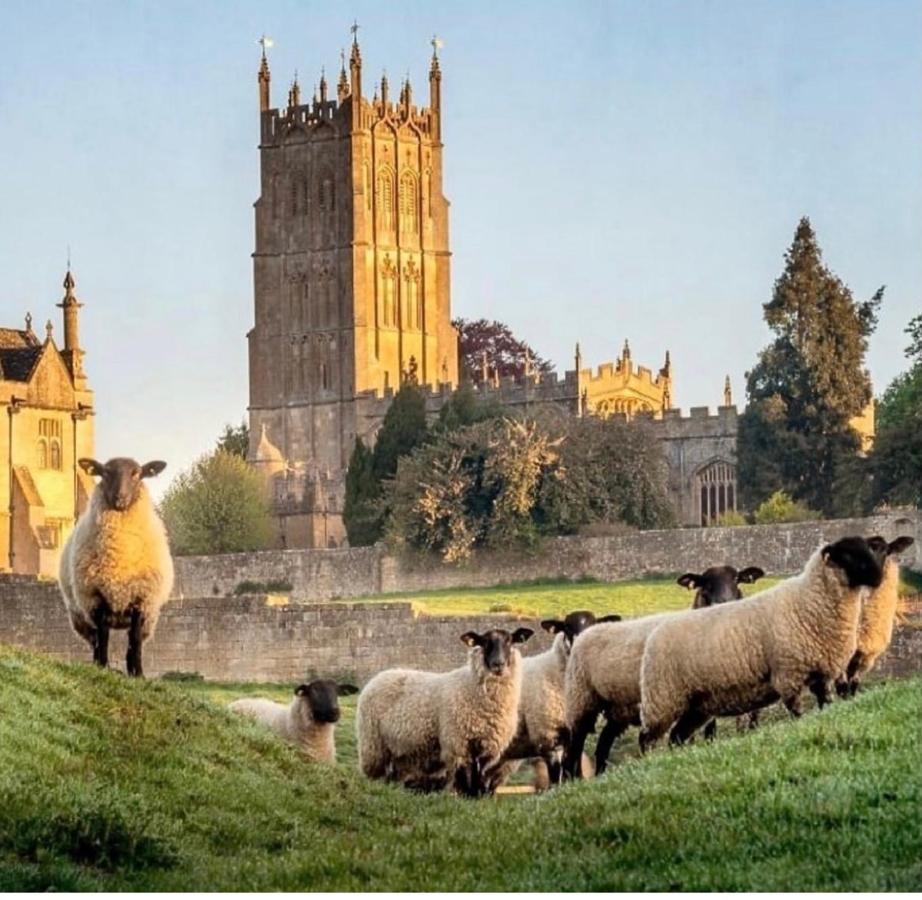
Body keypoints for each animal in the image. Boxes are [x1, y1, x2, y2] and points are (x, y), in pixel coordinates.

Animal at [58, 458, 173, 676]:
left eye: (137, 473)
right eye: (105, 472)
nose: (121, 498)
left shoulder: (141, 599)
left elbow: (134, 641)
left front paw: (139, 674)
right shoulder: (96, 599)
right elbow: (103, 638)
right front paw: (103, 667)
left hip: (148, 619)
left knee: (131, 642)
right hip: (80, 617)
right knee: (95, 639)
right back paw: (98, 664)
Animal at [356, 628, 536, 800]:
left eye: (510, 641)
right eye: (484, 642)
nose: (498, 664)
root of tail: (380, 676)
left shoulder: (487, 746)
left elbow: (479, 776)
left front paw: (477, 797)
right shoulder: (458, 743)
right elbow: (465, 775)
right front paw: (467, 797)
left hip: (403, 752)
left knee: (395, 774)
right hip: (374, 746)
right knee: (376, 774)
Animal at [636, 536, 880, 752]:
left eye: (868, 549)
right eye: (847, 555)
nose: (878, 577)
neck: (809, 600)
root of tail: (655, 634)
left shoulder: (821, 675)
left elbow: (825, 706)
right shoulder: (788, 676)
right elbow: (797, 714)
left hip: (695, 705)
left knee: (677, 736)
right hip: (662, 700)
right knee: (647, 738)